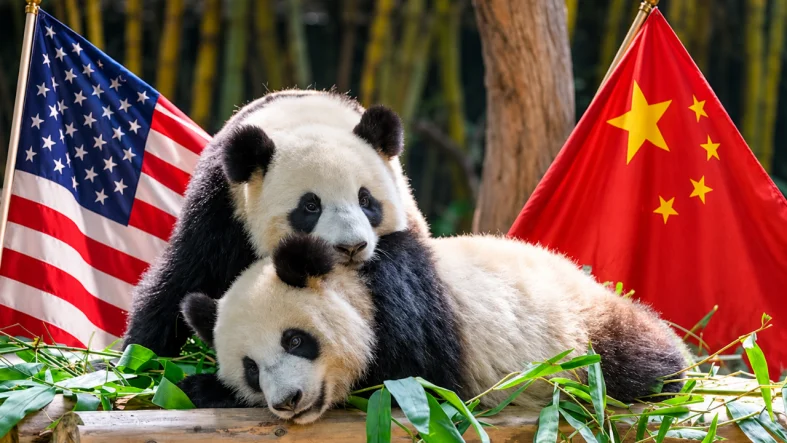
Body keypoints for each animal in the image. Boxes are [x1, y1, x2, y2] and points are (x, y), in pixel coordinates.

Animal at [122, 89, 429, 357]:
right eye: (310, 206)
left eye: (365, 199)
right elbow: (180, 281)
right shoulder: (221, 210)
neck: (305, 116)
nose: (351, 247)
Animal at [178, 229, 690, 424]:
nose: (287, 401)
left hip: (581, 334)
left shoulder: (411, 313)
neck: (356, 286)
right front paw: (197, 385)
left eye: (296, 340)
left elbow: (402, 380)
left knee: (635, 361)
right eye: (251, 369)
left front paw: (203, 387)